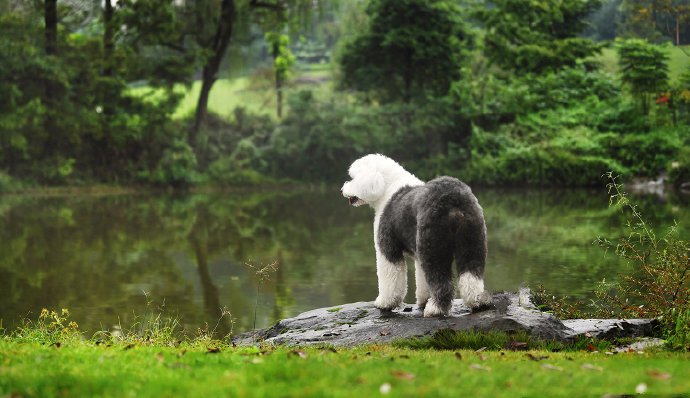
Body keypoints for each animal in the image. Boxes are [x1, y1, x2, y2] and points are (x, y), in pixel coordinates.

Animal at [338, 153, 490, 318]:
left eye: (353, 177)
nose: (342, 190)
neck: (387, 188)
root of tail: (454, 200)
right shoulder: (418, 253)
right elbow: (422, 278)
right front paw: (424, 299)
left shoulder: (388, 248)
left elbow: (389, 276)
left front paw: (384, 303)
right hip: (472, 241)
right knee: (471, 275)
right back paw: (477, 302)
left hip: (433, 246)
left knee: (440, 281)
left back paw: (435, 309)